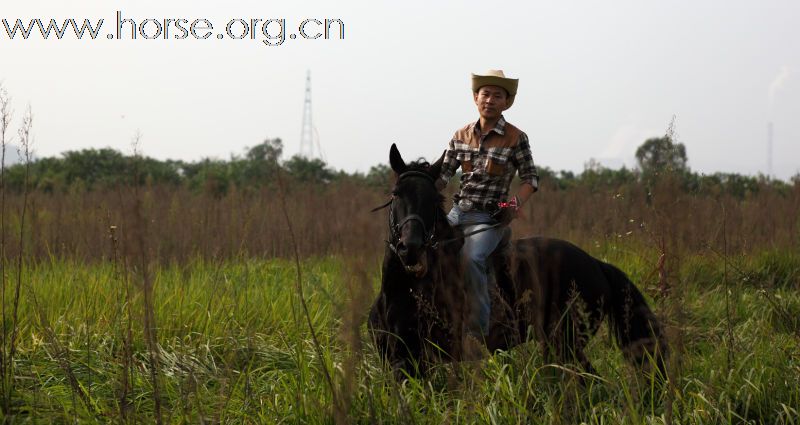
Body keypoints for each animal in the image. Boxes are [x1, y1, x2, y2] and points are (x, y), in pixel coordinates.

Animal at [370, 144, 668, 376]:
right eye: (396, 194)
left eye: (434, 199)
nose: (410, 247)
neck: (407, 289)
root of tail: (595, 263)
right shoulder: (401, 360)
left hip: (568, 343)